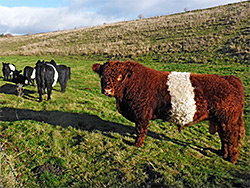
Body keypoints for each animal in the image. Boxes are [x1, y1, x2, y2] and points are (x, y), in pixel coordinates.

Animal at [93, 60, 245, 163]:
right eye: (102, 76)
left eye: (119, 77)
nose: (107, 90)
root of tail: (230, 79)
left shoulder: (141, 114)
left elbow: (140, 130)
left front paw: (137, 145)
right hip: (220, 120)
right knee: (224, 137)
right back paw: (222, 153)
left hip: (228, 120)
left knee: (231, 138)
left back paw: (231, 159)